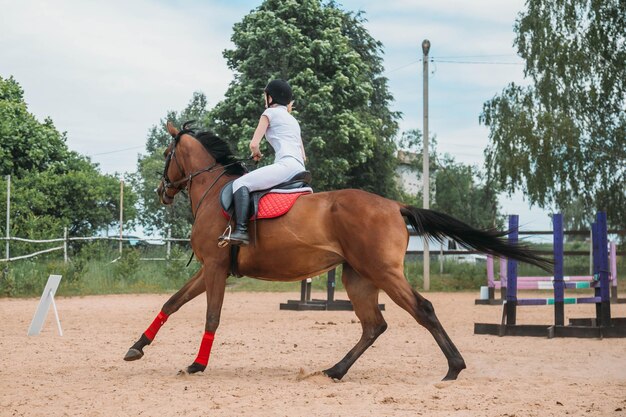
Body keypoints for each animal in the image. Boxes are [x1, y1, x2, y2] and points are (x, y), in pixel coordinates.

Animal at [123, 121, 552, 380]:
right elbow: (172, 302)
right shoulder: (212, 268)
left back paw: (453, 368)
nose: (161, 192)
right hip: (358, 276)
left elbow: (211, 316)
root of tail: (394, 204)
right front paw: (136, 348)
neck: (214, 192)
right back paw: (336, 370)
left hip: (381, 272)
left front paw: (197, 364)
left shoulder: (214, 267)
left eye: (167, 155)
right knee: (374, 325)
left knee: (422, 309)